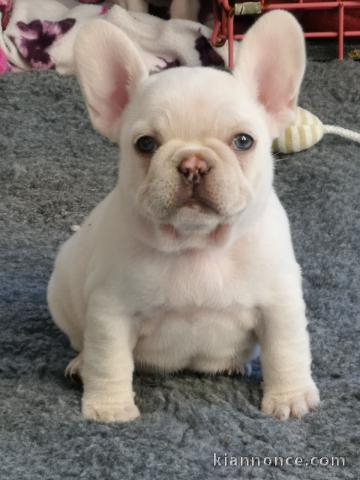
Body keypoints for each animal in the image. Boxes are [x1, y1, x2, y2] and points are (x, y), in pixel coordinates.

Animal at [47, 11, 320, 422]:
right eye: (145, 144)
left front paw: (290, 397)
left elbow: (287, 349)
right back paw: (81, 364)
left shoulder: (280, 302)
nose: (193, 163)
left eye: (243, 141)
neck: (197, 245)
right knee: (84, 344)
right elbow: (109, 359)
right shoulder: (111, 312)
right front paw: (110, 407)